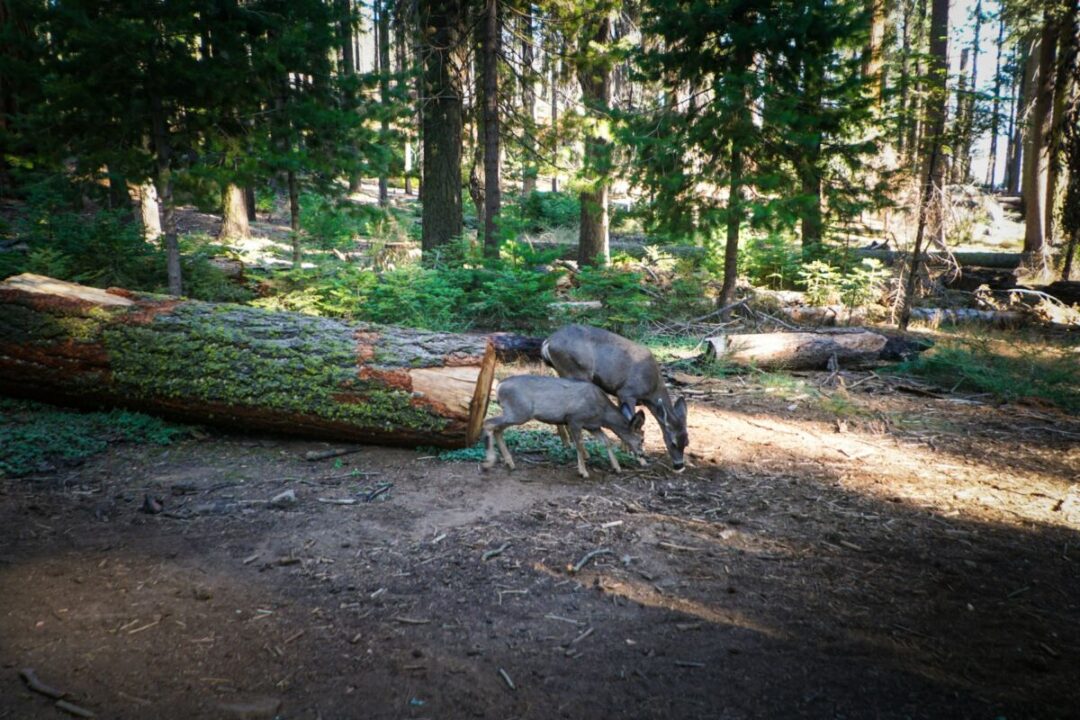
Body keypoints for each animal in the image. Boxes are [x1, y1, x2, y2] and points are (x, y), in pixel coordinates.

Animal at [481, 375, 646, 478]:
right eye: (642, 439)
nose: (643, 455)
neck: (603, 413)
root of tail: (499, 386)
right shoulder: (575, 419)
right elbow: (579, 444)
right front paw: (583, 472)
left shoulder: (593, 426)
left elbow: (607, 441)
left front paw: (617, 468)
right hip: (518, 412)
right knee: (488, 423)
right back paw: (488, 463)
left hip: (515, 413)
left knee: (498, 429)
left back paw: (510, 463)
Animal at [541, 324, 689, 472]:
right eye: (673, 442)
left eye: (687, 442)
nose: (679, 465)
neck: (652, 389)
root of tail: (548, 342)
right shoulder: (627, 392)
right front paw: (631, 452)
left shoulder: (619, 394)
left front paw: (625, 449)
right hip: (575, 371)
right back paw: (584, 453)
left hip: (560, 371)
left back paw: (567, 443)